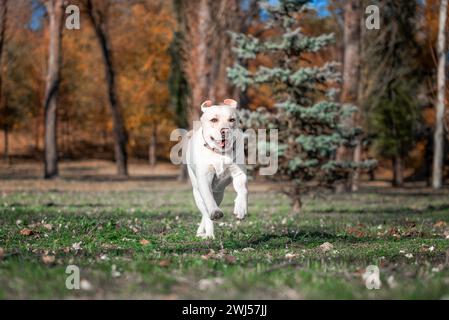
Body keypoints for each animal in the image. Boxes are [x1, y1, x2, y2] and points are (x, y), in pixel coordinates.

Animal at [186, 99, 248, 239]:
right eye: (214, 120)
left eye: (231, 120)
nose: (224, 130)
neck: (220, 153)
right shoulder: (204, 179)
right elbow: (208, 199)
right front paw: (215, 212)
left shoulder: (239, 173)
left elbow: (243, 190)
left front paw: (240, 208)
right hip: (197, 193)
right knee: (205, 212)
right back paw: (208, 233)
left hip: (219, 194)